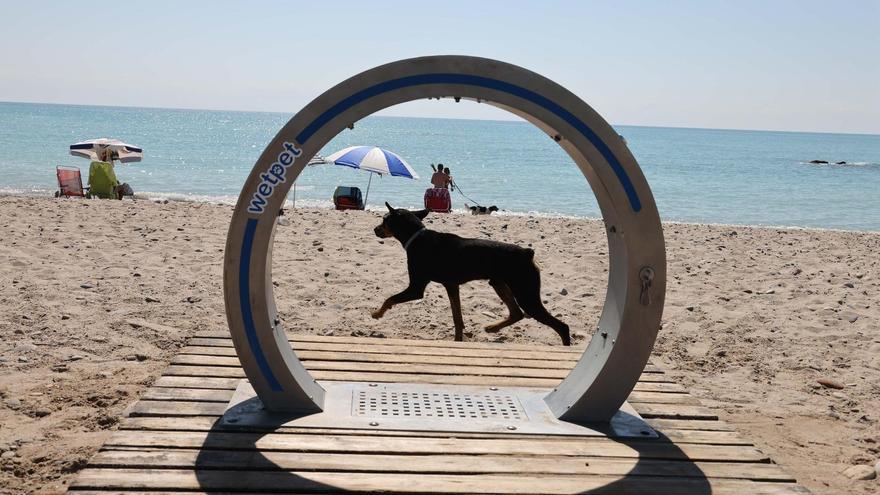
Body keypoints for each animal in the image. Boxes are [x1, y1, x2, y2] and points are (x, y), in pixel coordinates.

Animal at [370, 203, 572, 346]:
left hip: (525, 293)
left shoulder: (416, 288)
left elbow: (390, 298)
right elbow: (457, 317)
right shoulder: (452, 285)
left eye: (384, 219)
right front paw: (458, 340)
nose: (374, 229)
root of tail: (527, 253)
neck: (416, 237)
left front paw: (377, 313)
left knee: (562, 327)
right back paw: (492, 328)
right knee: (516, 314)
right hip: (499, 283)